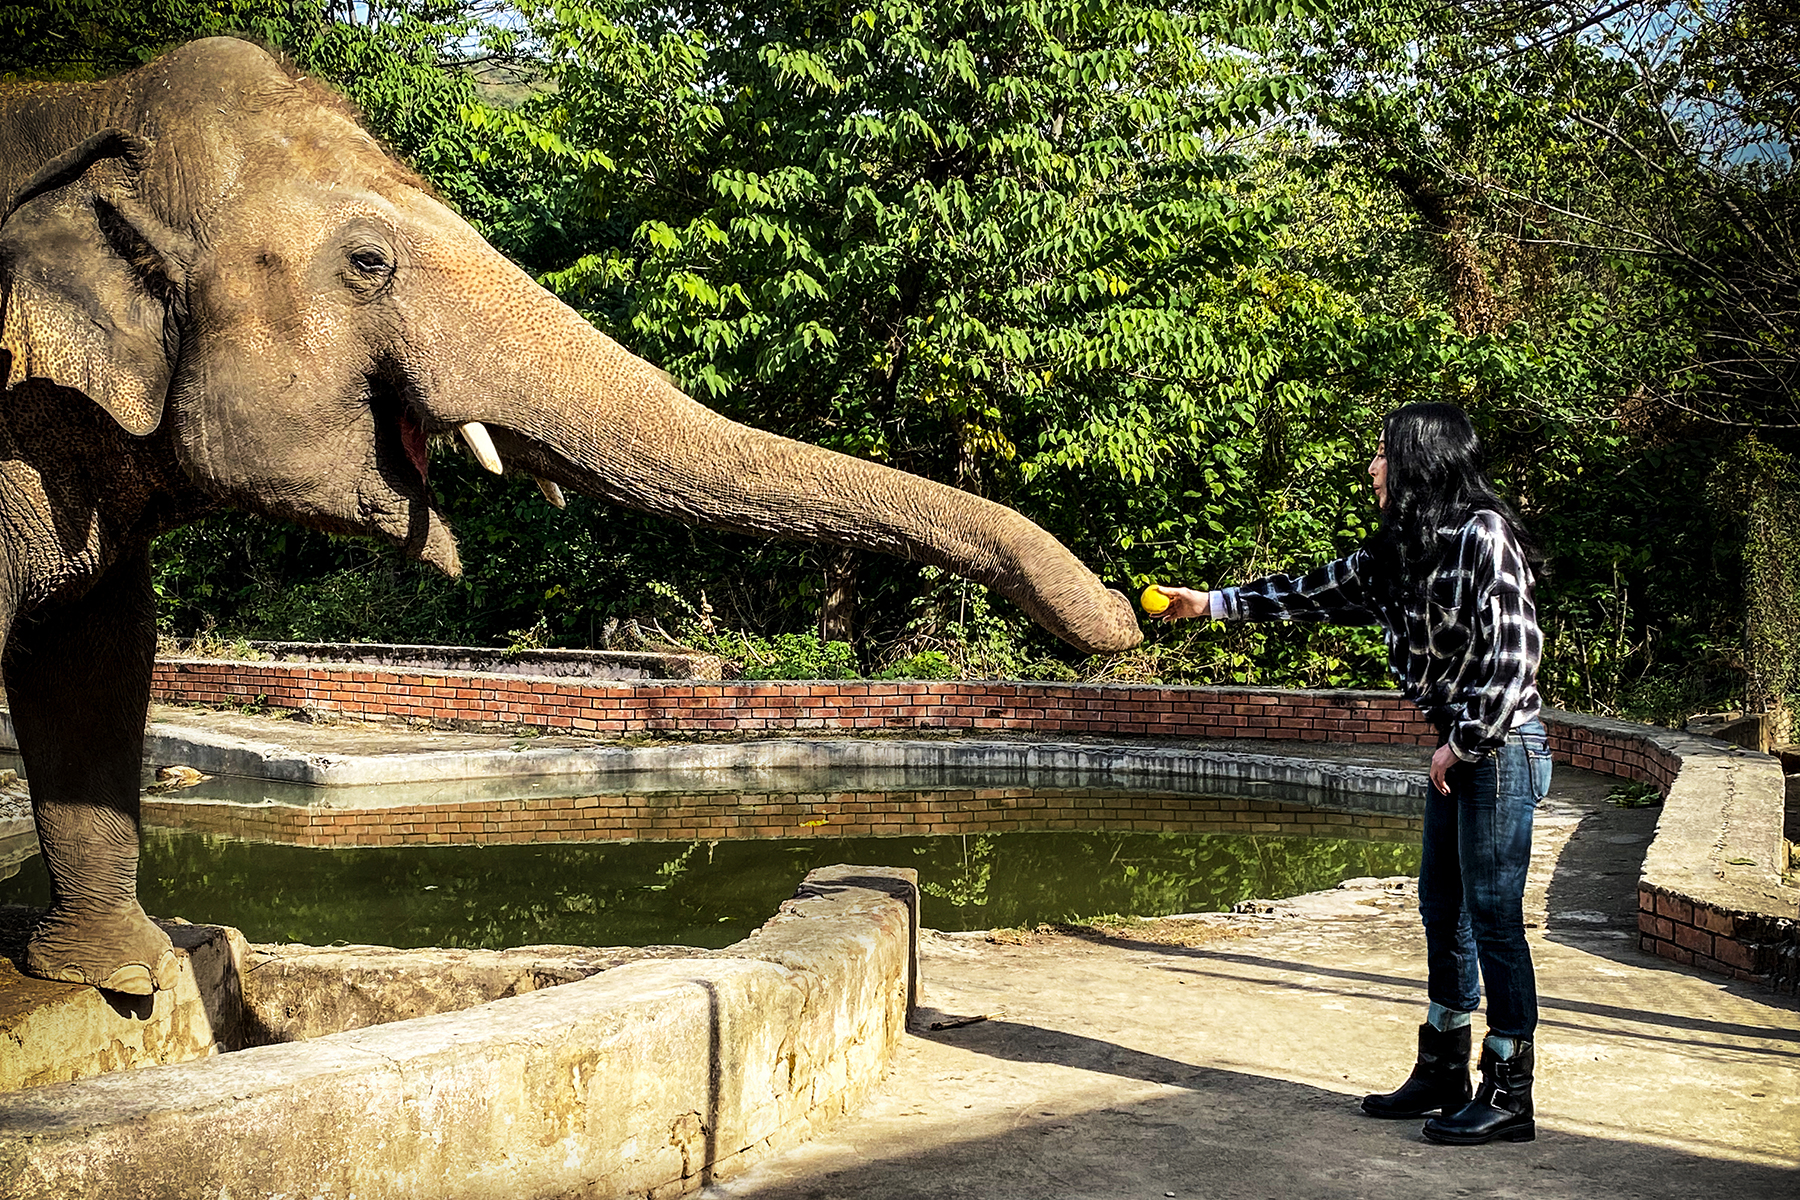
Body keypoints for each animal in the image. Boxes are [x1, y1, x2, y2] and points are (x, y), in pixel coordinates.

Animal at [0, 38, 1141, 994]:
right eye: (368, 262)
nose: (1125, 623)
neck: (93, 103)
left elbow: (99, 653)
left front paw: (125, 974)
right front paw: (121, 980)